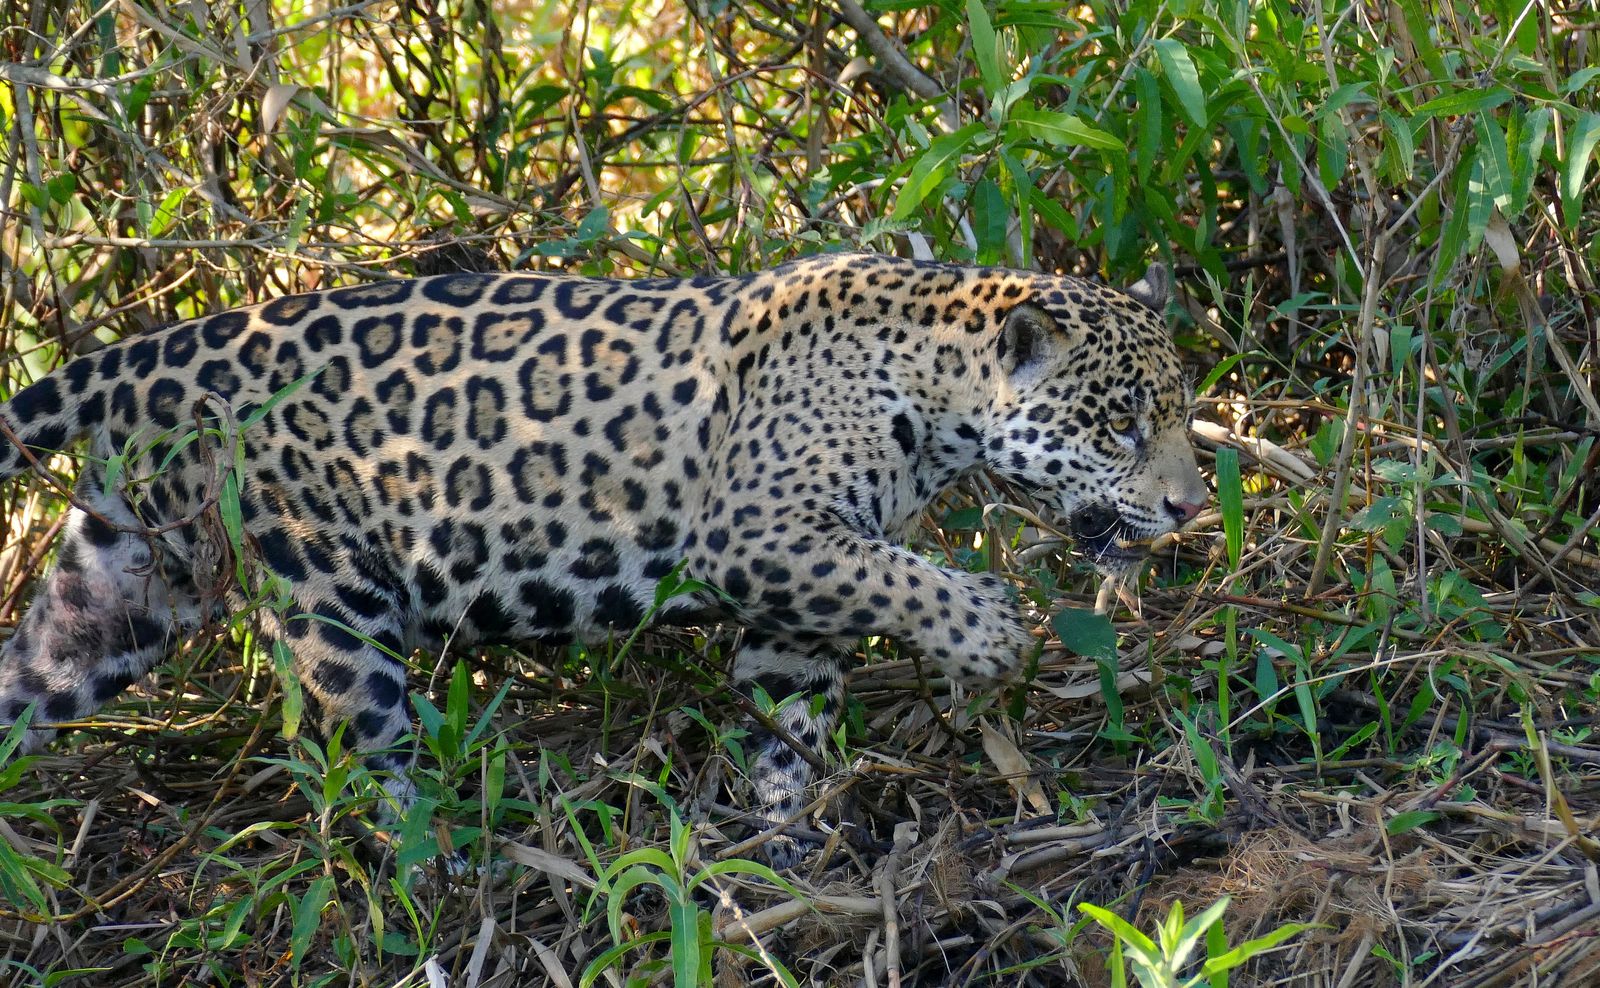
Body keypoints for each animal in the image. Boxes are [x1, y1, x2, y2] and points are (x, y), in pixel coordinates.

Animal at [0, 253, 1208, 868]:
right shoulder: (759, 536)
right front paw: (988, 633)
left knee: (26, 683)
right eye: (1120, 425)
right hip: (328, 594)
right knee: (374, 756)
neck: (936, 386)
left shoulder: (798, 586)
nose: (1192, 507)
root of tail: (158, 348)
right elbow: (905, 579)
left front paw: (786, 837)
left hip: (111, 599)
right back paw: (438, 871)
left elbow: (789, 712)